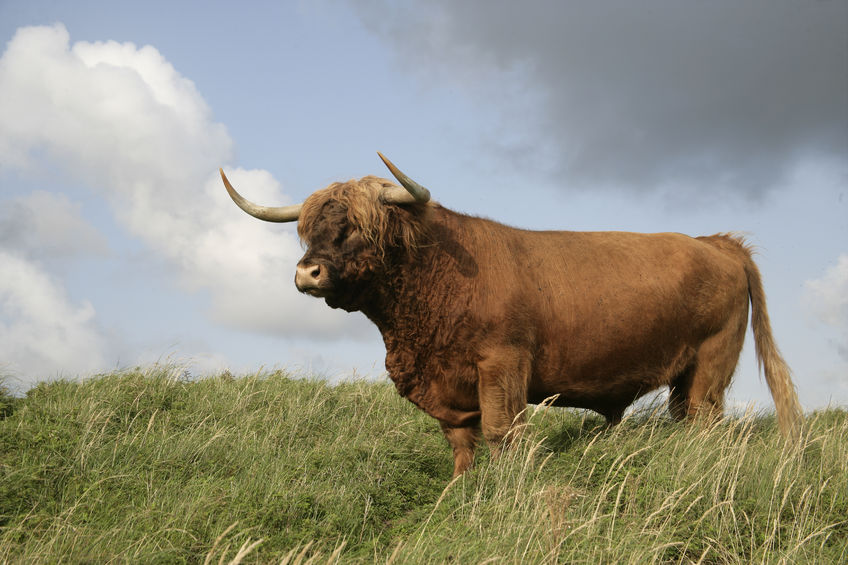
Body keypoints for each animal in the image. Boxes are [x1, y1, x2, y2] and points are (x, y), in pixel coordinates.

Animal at [219, 154, 800, 476]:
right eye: (310, 230)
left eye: (360, 229)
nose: (307, 273)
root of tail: (717, 241)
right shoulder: (450, 389)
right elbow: (461, 442)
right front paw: (459, 493)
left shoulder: (502, 364)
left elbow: (502, 432)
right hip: (686, 374)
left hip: (711, 364)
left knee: (704, 421)